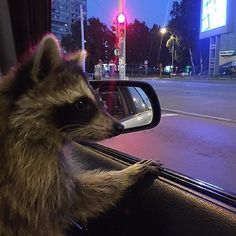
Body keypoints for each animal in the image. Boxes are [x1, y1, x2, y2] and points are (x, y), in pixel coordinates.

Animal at [0, 35, 160, 236]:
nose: (120, 126)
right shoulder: (29, 165)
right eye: (81, 104)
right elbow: (75, 198)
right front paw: (126, 174)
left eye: (100, 100)